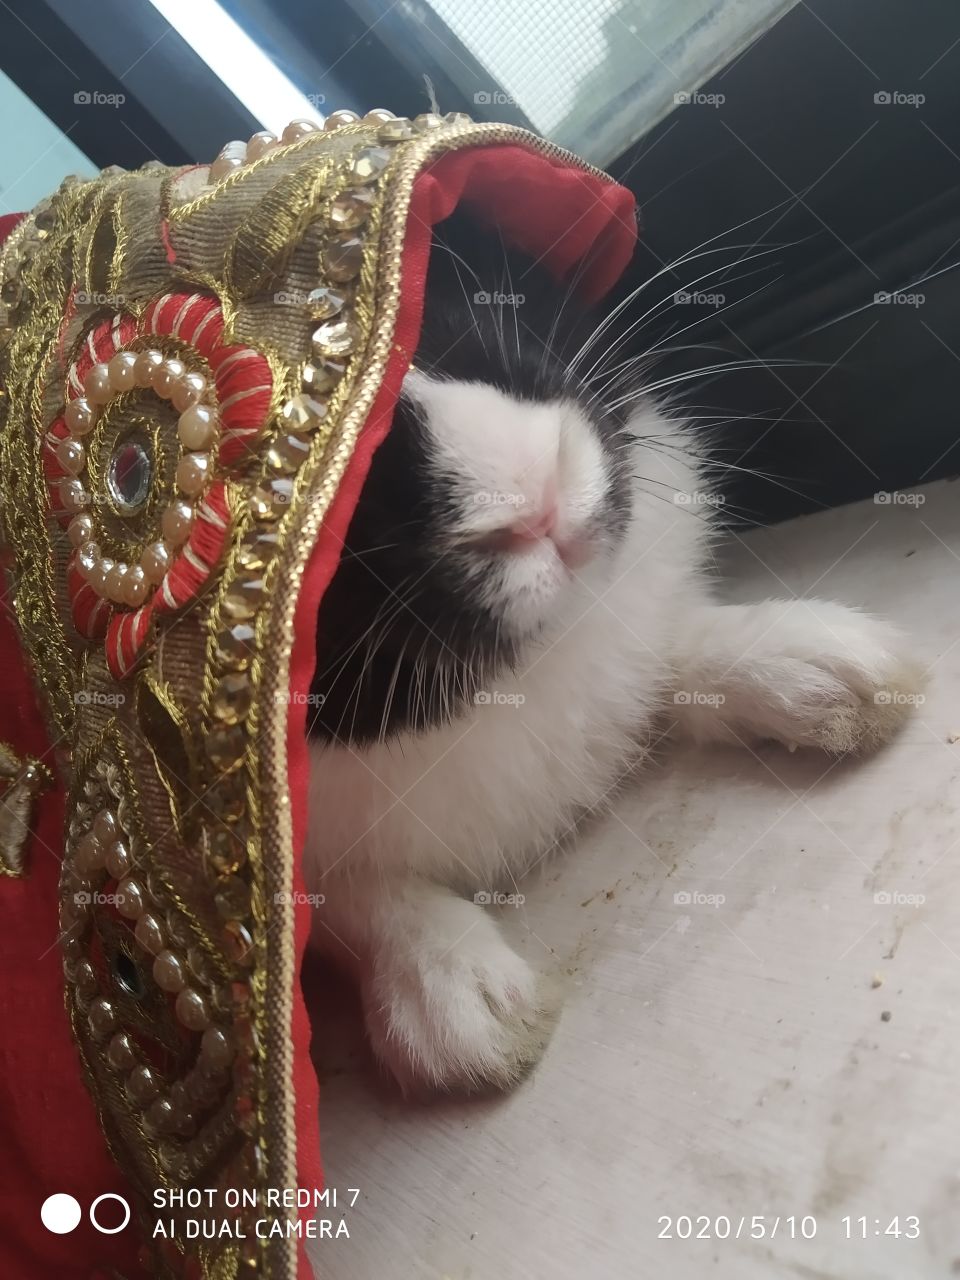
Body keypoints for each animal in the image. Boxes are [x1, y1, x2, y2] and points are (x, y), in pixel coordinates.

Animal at [302, 209, 922, 1092]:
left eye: (436, 278)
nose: (533, 496)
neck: (514, 674)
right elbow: (363, 902)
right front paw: (468, 1016)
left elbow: (678, 654)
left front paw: (838, 673)